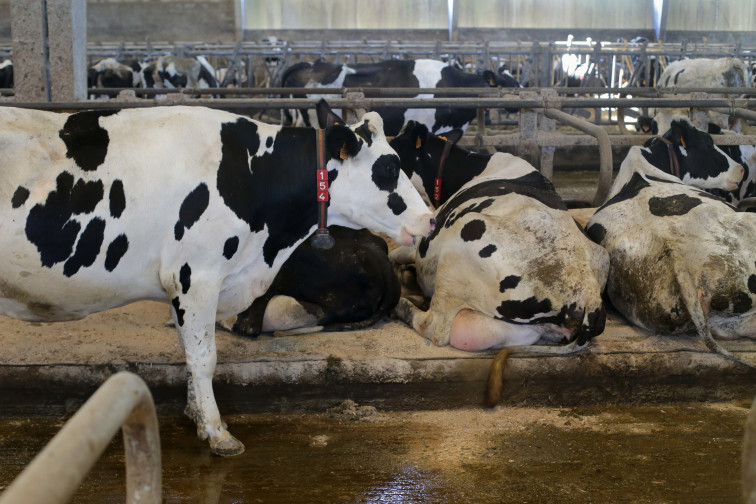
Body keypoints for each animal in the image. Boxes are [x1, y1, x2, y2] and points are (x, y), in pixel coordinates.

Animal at [0, 100, 434, 456]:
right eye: (389, 168)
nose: (430, 220)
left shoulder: (189, 285)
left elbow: (191, 351)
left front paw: (196, 414)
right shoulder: (196, 275)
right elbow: (204, 357)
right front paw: (217, 432)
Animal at [389, 129, 609, 406]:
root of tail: (588, 293)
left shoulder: (423, 242)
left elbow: (396, 253)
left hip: (462, 242)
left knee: (433, 327)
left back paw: (400, 303)